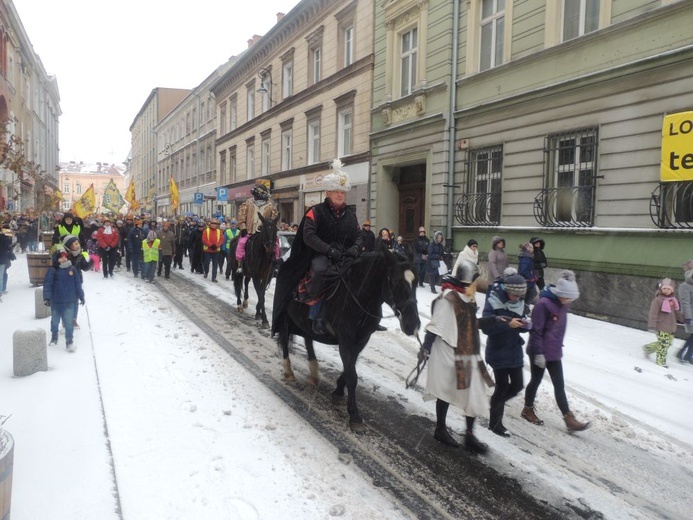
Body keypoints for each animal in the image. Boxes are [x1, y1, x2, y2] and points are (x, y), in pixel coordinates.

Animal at [274, 251, 418, 430]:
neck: (357, 297)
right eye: (396, 281)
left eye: (416, 282)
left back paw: (313, 372)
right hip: (286, 316)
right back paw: (288, 371)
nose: (413, 324)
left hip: (303, 323)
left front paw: (338, 391)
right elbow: (352, 376)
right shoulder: (346, 341)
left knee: (308, 340)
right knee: (285, 340)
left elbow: (350, 368)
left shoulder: (361, 340)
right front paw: (354, 415)